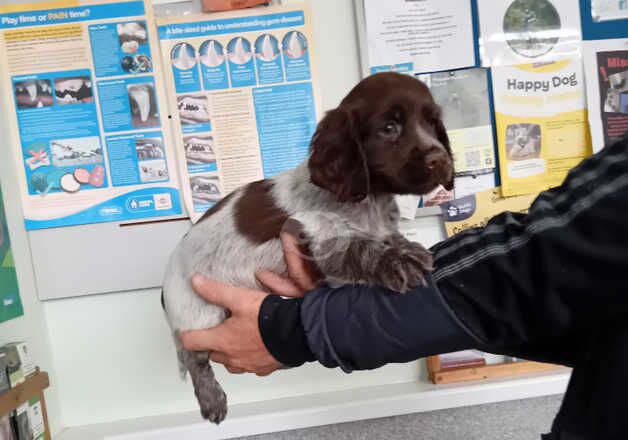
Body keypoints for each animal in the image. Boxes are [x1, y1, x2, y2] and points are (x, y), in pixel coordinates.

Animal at [163, 72, 452, 422]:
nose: (440, 159)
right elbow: (361, 249)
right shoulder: (322, 236)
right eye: (389, 127)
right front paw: (399, 260)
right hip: (198, 312)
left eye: (433, 123)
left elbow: (386, 237)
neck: (372, 199)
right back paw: (211, 398)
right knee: (193, 356)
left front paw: (404, 246)